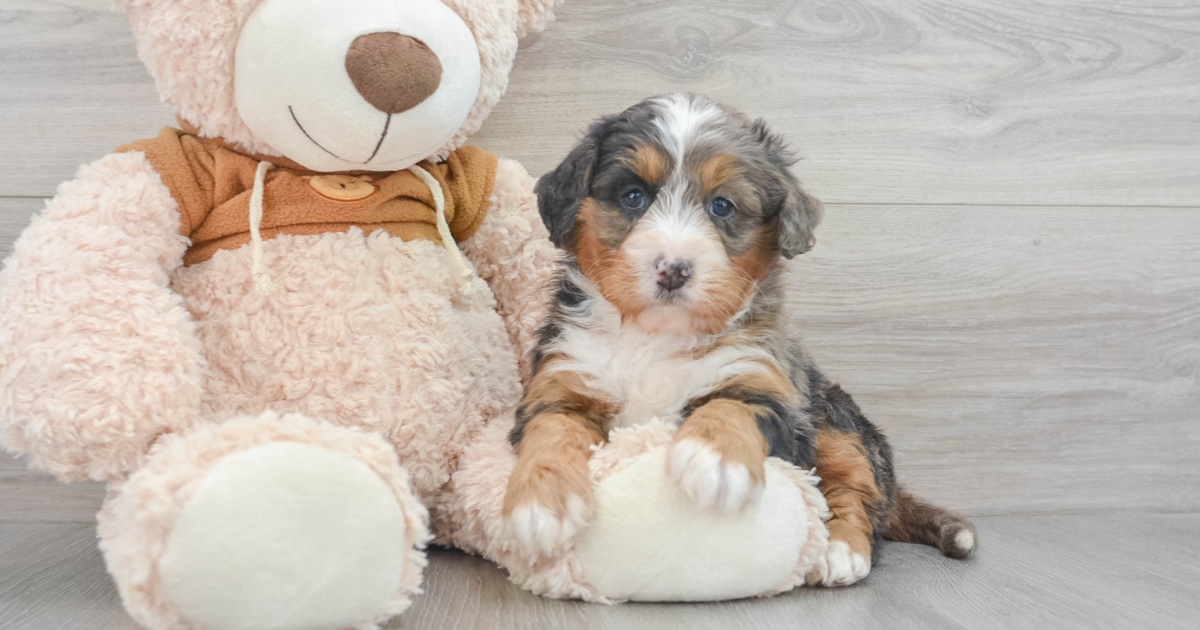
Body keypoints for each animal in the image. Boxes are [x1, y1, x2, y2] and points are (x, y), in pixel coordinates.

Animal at [496, 93, 974, 585]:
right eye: (633, 197)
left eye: (722, 206)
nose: (674, 268)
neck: (657, 337)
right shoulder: (563, 379)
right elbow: (553, 431)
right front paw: (539, 504)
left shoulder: (765, 384)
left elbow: (730, 406)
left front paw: (713, 460)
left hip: (837, 420)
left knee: (855, 490)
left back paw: (839, 549)